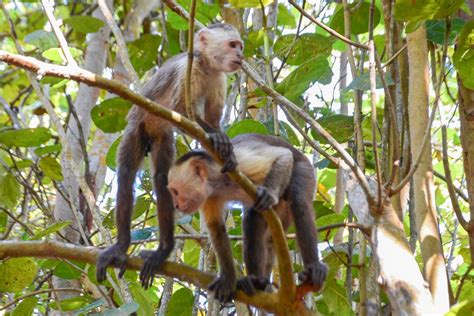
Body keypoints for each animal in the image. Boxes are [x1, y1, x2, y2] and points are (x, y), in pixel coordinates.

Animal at [96, 23, 244, 288]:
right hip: (137, 127)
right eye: (232, 45)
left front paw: (225, 149)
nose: (241, 55)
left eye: (240, 46)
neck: (206, 65)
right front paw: (214, 137)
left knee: (162, 179)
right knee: (126, 176)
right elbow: (180, 110)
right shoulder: (188, 69)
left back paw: (163, 250)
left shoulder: (219, 78)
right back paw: (121, 246)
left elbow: (213, 119)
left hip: (161, 137)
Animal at [168, 133, 328, 302]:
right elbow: (216, 228)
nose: (176, 205)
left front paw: (270, 193)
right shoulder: (208, 197)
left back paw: (313, 270)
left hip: (305, 169)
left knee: (299, 202)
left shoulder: (236, 163)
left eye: (176, 192)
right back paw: (256, 281)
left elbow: (283, 156)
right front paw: (228, 279)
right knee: (256, 222)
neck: (217, 182)